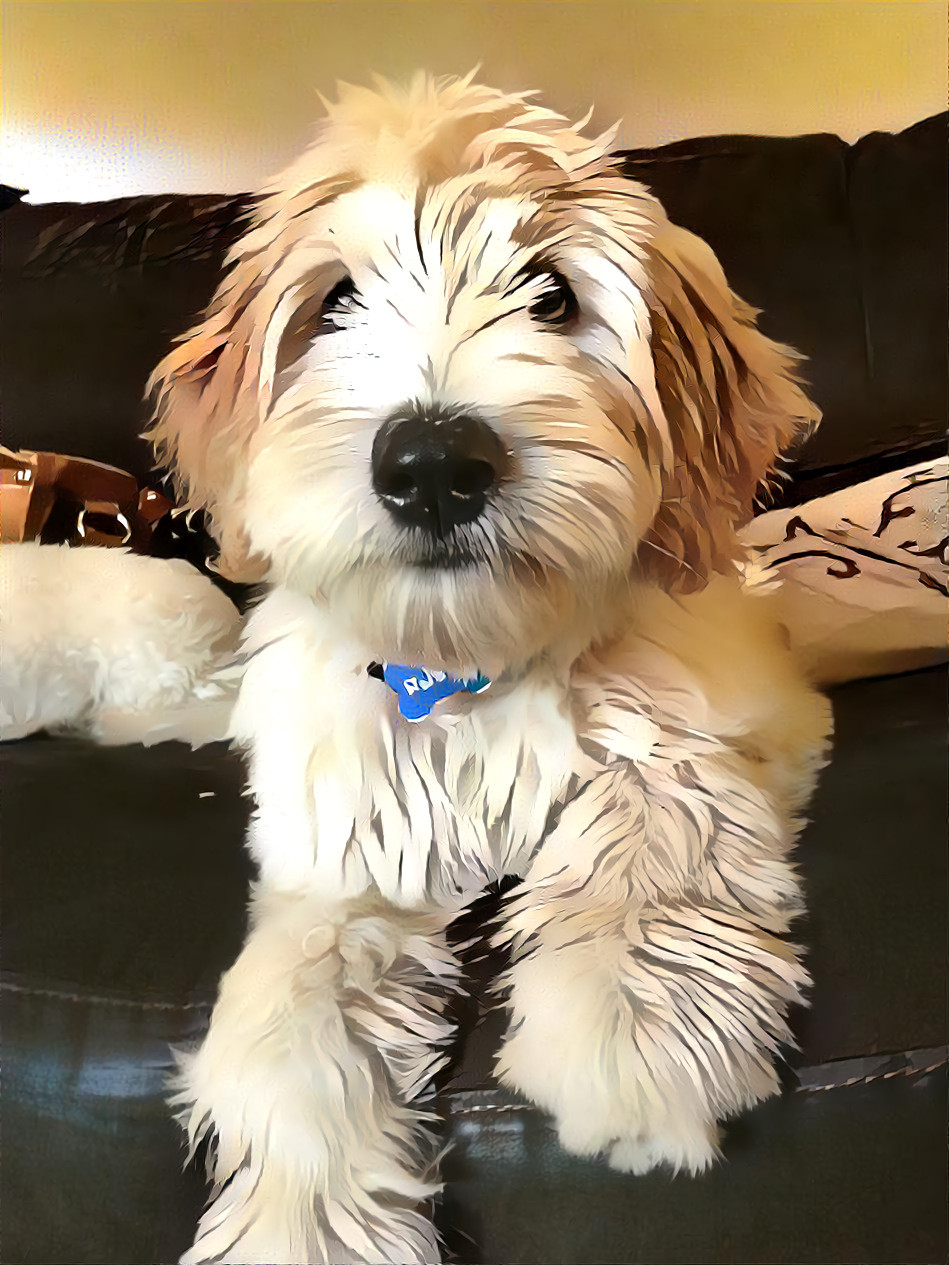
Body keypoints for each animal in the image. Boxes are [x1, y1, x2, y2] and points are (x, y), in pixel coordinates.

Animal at [148, 74, 830, 1265]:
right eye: (334, 301)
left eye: (551, 296)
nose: (431, 464)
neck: (470, 665)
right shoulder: (341, 861)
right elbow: (287, 1035)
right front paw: (296, 1219)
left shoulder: (722, 718)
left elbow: (655, 828)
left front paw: (627, 1035)